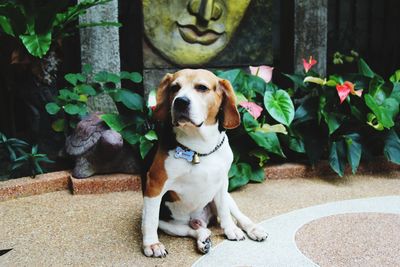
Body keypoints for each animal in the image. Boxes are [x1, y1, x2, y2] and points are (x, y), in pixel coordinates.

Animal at [142, 70, 268, 258]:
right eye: (174, 88)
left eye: (202, 87)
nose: (180, 101)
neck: (200, 147)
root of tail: (200, 219)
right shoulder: (155, 185)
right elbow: (150, 221)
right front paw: (151, 244)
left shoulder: (222, 183)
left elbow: (224, 211)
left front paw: (231, 229)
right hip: (165, 222)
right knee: (193, 230)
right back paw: (203, 239)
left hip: (228, 197)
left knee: (238, 216)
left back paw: (253, 229)